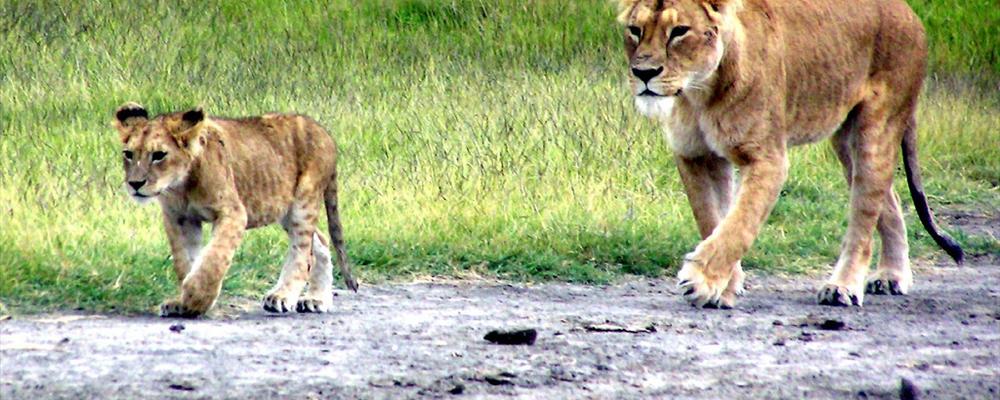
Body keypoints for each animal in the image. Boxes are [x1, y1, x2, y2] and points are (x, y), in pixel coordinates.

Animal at [113, 103, 358, 317]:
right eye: (128, 154)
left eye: (159, 155)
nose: (135, 184)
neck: (181, 186)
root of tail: (323, 131)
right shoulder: (179, 218)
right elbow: (185, 262)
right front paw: (183, 303)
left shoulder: (233, 213)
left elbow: (213, 260)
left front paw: (197, 299)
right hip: (283, 208)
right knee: (321, 241)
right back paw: (316, 299)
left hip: (303, 201)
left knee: (303, 253)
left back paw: (282, 296)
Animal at [616, 0, 963, 308]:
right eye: (635, 29)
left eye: (679, 31)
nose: (643, 73)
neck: (699, 93)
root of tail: (908, 10)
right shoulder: (696, 155)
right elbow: (713, 220)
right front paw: (725, 287)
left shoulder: (767, 158)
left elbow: (739, 223)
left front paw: (701, 280)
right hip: (845, 139)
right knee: (887, 199)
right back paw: (892, 275)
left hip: (876, 128)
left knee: (865, 214)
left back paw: (843, 287)